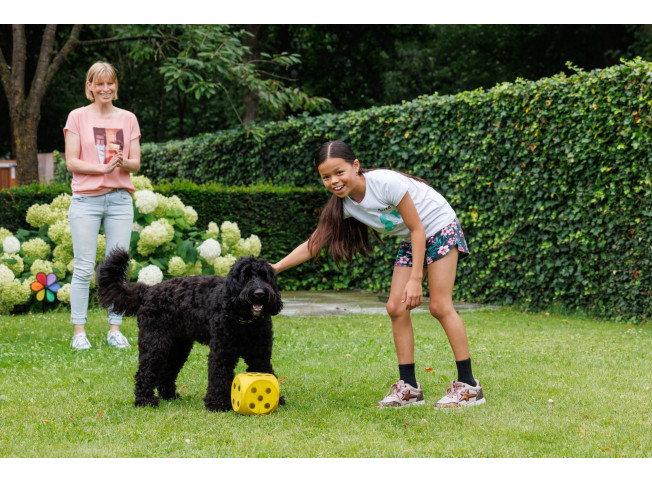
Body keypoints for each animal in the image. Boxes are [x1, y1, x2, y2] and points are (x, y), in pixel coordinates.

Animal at [95, 250, 284, 412]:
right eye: (246, 277)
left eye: (264, 276)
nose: (259, 293)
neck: (244, 320)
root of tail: (148, 291)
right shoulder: (221, 352)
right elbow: (219, 376)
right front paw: (217, 403)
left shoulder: (260, 353)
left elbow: (266, 371)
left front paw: (277, 399)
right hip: (155, 344)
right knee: (145, 372)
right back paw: (145, 401)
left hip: (178, 347)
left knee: (167, 372)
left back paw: (170, 396)